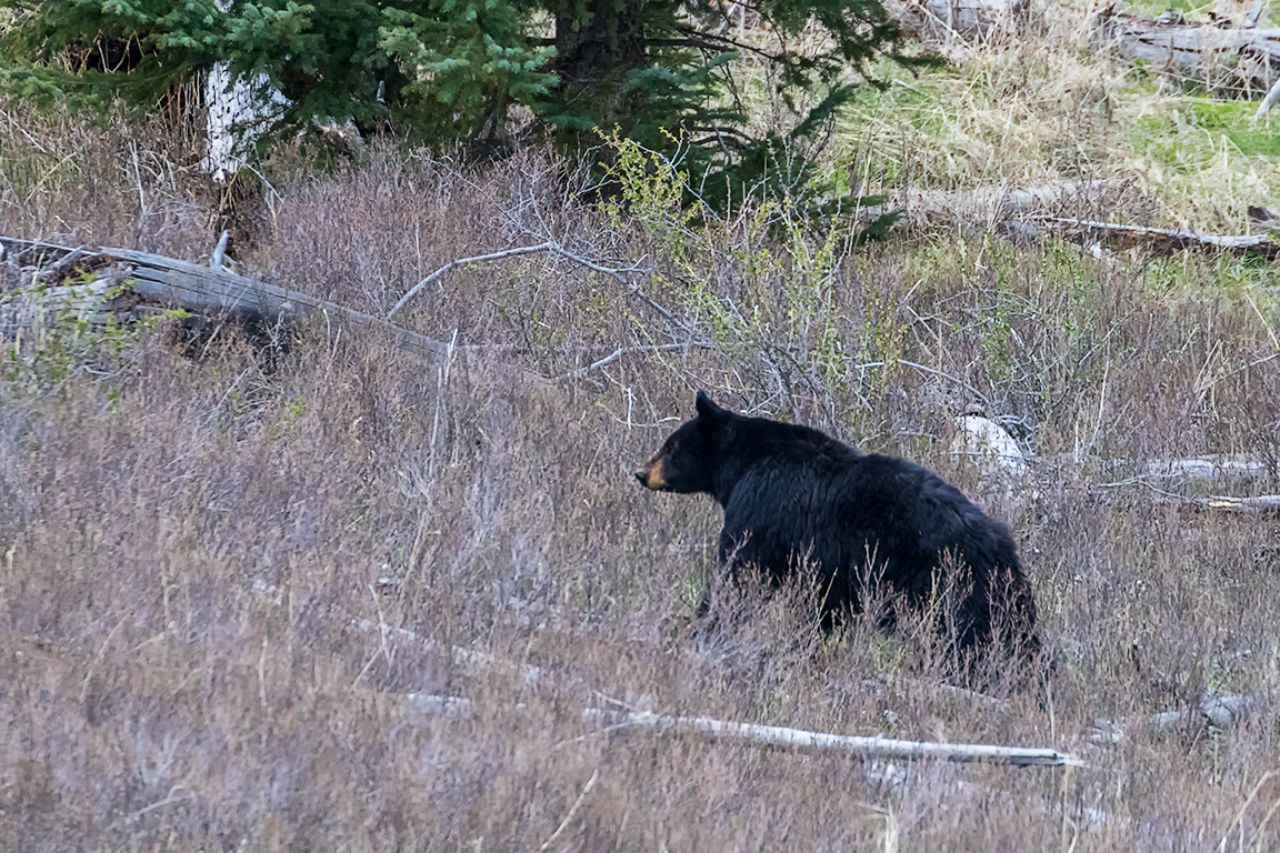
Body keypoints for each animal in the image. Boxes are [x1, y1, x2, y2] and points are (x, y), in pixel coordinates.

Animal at [635, 390, 1043, 678]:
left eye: (670, 446)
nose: (641, 473)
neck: (742, 466)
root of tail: (997, 543)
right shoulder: (828, 571)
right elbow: (822, 609)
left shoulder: (760, 512)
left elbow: (736, 574)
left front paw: (699, 624)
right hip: (995, 592)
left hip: (944, 582)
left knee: (966, 636)